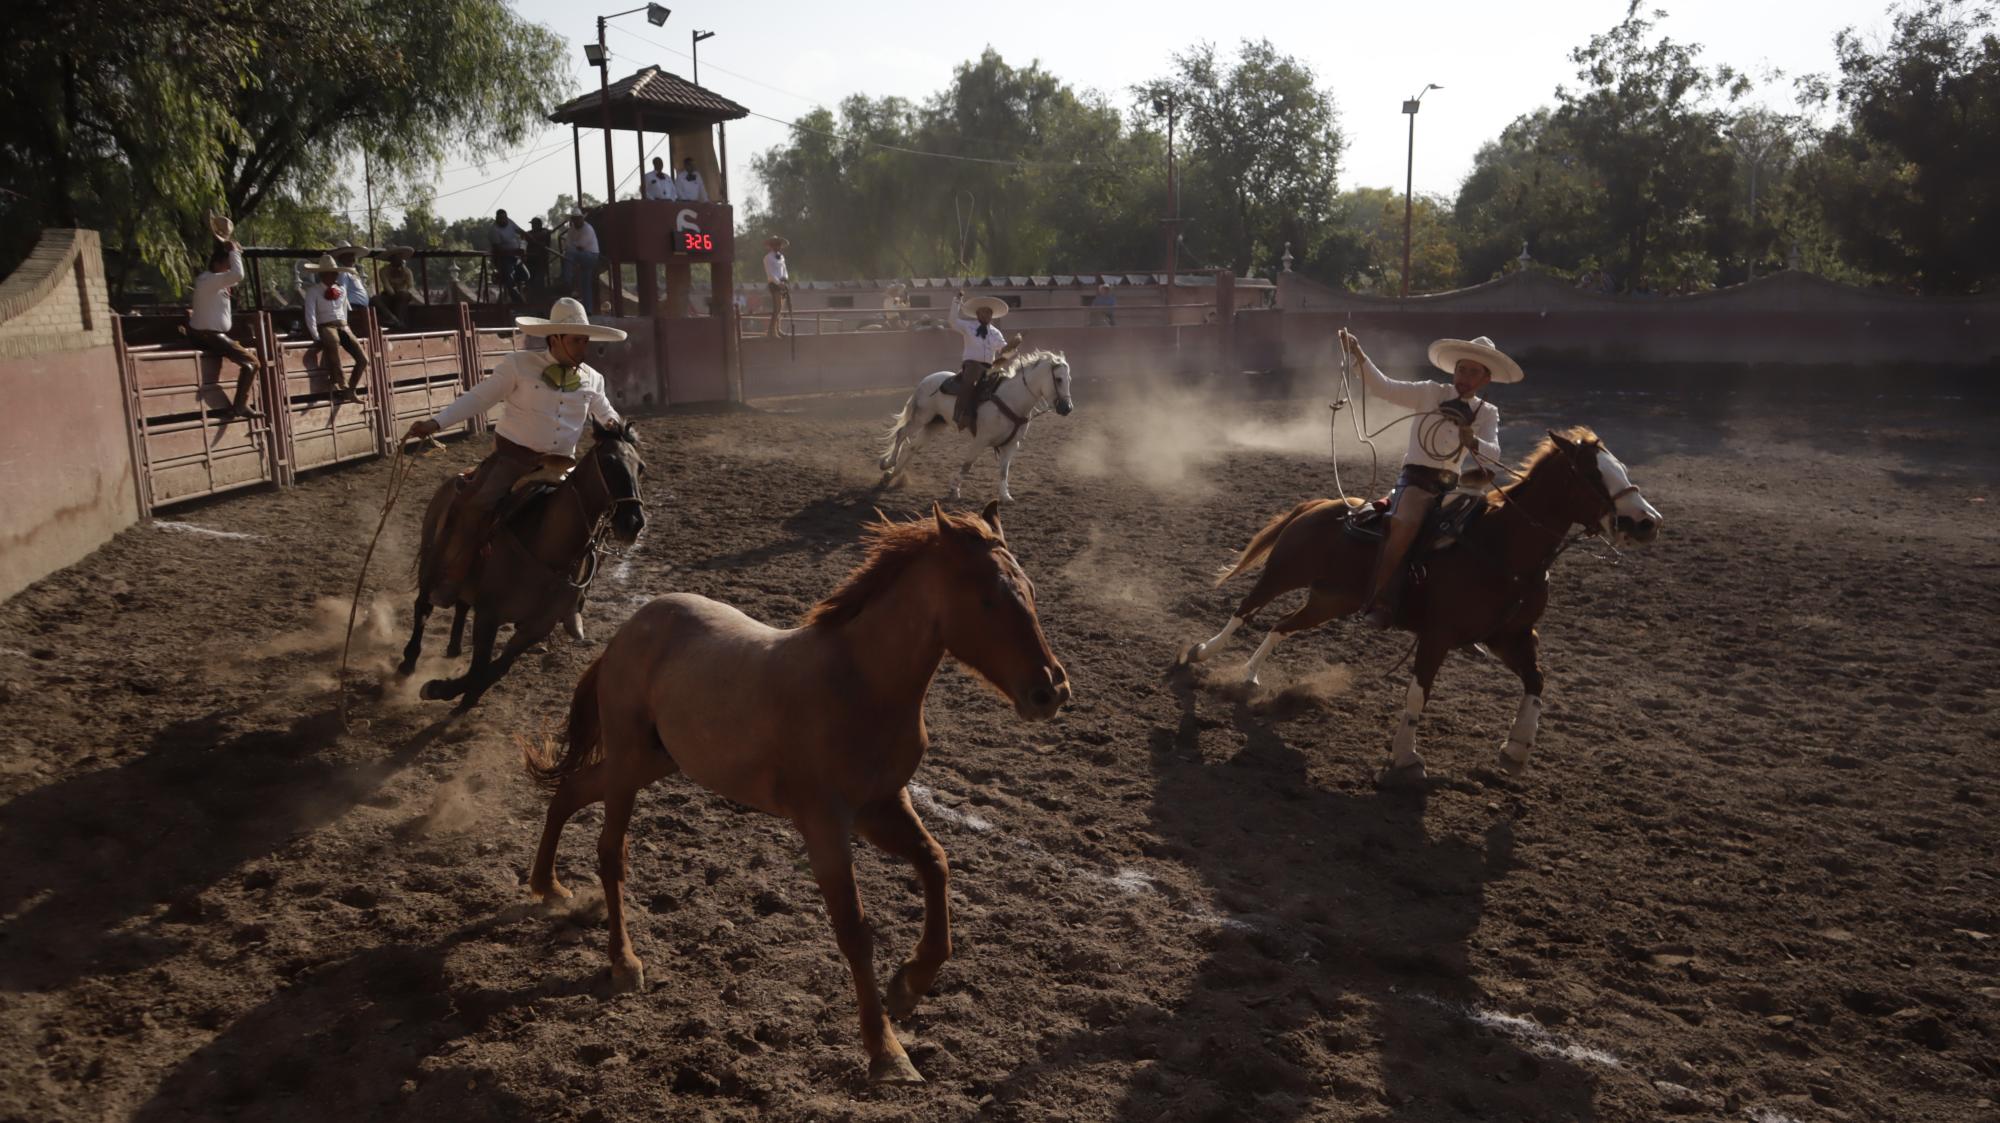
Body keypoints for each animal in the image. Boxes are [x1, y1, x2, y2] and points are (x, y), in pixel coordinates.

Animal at [390, 419, 640, 707]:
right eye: (609, 461)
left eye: (641, 467)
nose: (634, 522)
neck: (547, 550)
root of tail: (460, 477)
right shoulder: (488, 615)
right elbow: (479, 668)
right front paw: (438, 689)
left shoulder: (536, 628)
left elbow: (497, 668)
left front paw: (463, 696)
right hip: (432, 560)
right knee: (424, 606)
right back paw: (408, 662)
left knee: (462, 604)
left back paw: (453, 648)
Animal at [524, 497, 1072, 1079]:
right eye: (989, 600)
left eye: (1030, 591)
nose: (1051, 691)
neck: (860, 684)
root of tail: (629, 631)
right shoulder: (824, 823)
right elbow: (854, 928)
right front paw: (886, 1051)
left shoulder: (882, 806)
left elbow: (936, 863)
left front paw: (910, 985)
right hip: (631, 762)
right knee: (611, 851)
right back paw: (624, 963)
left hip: (656, 759)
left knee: (571, 790)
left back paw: (548, 888)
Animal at [880, 349, 1072, 497]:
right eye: (1059, 379)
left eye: (1069, 379)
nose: (1067, 408)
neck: (1011, 400)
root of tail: (927, 379)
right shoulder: (980, 440)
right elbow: (967, 465)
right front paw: (954, 488)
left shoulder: (1011, 444)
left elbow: (1004, 471)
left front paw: (1005, 495)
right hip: (921, 418)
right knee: (901, 433)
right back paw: (887, 464)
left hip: (935, 424)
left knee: (914, 447)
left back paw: (891, 475)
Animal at [1176, 425, 1664, 779]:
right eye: (1592, 474)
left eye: (1620, 466)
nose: (1646, 523)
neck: (1505, 550)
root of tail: (1320, 505)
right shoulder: (1438, 635)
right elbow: (1417, 694)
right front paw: (1405, 758)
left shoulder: (1511, 635)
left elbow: (1536, 682)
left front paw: (1517, 749)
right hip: (1283, 573)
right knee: (1244, 611)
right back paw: (1199, 654)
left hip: (1329, 601)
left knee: (1279, 626)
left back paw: (1249, 677)